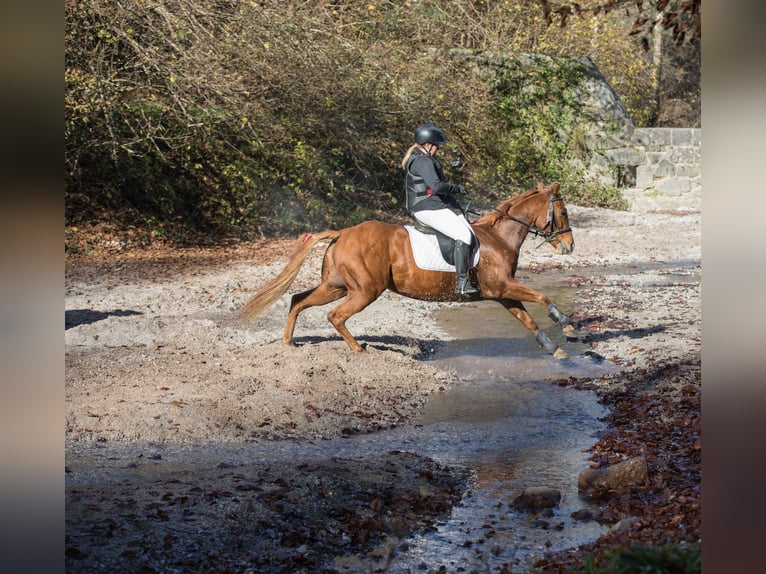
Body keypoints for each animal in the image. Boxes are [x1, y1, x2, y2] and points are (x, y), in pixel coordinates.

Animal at [243, 182, 580, 358]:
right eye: (563, 212)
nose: (569, 246)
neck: (499, 237)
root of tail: (342, 233)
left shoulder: (501, 292)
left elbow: (527, 318)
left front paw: (553, 347)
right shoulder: (502, 286)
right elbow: (542, 298)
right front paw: (567, 326)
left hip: (336, 286)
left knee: (298, 300)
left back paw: (289, 342)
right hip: (364, 291)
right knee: (335, 316)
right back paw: (358, 349)